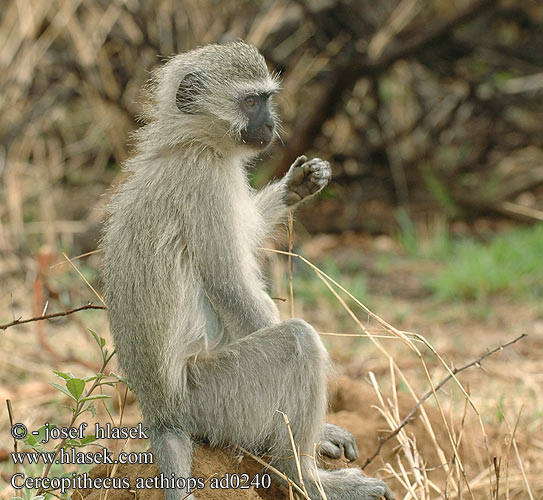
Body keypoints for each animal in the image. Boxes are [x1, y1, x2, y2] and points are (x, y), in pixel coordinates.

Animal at [102, 40, 394, 500]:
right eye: (251, 102)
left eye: (268, 99)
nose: (272, 123)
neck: (189, 141)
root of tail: (162, 416)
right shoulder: (206, 181)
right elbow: (230, 287)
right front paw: (322, 433)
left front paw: (297, 186)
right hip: (215, 400)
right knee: (297, 340)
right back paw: (305, 476)